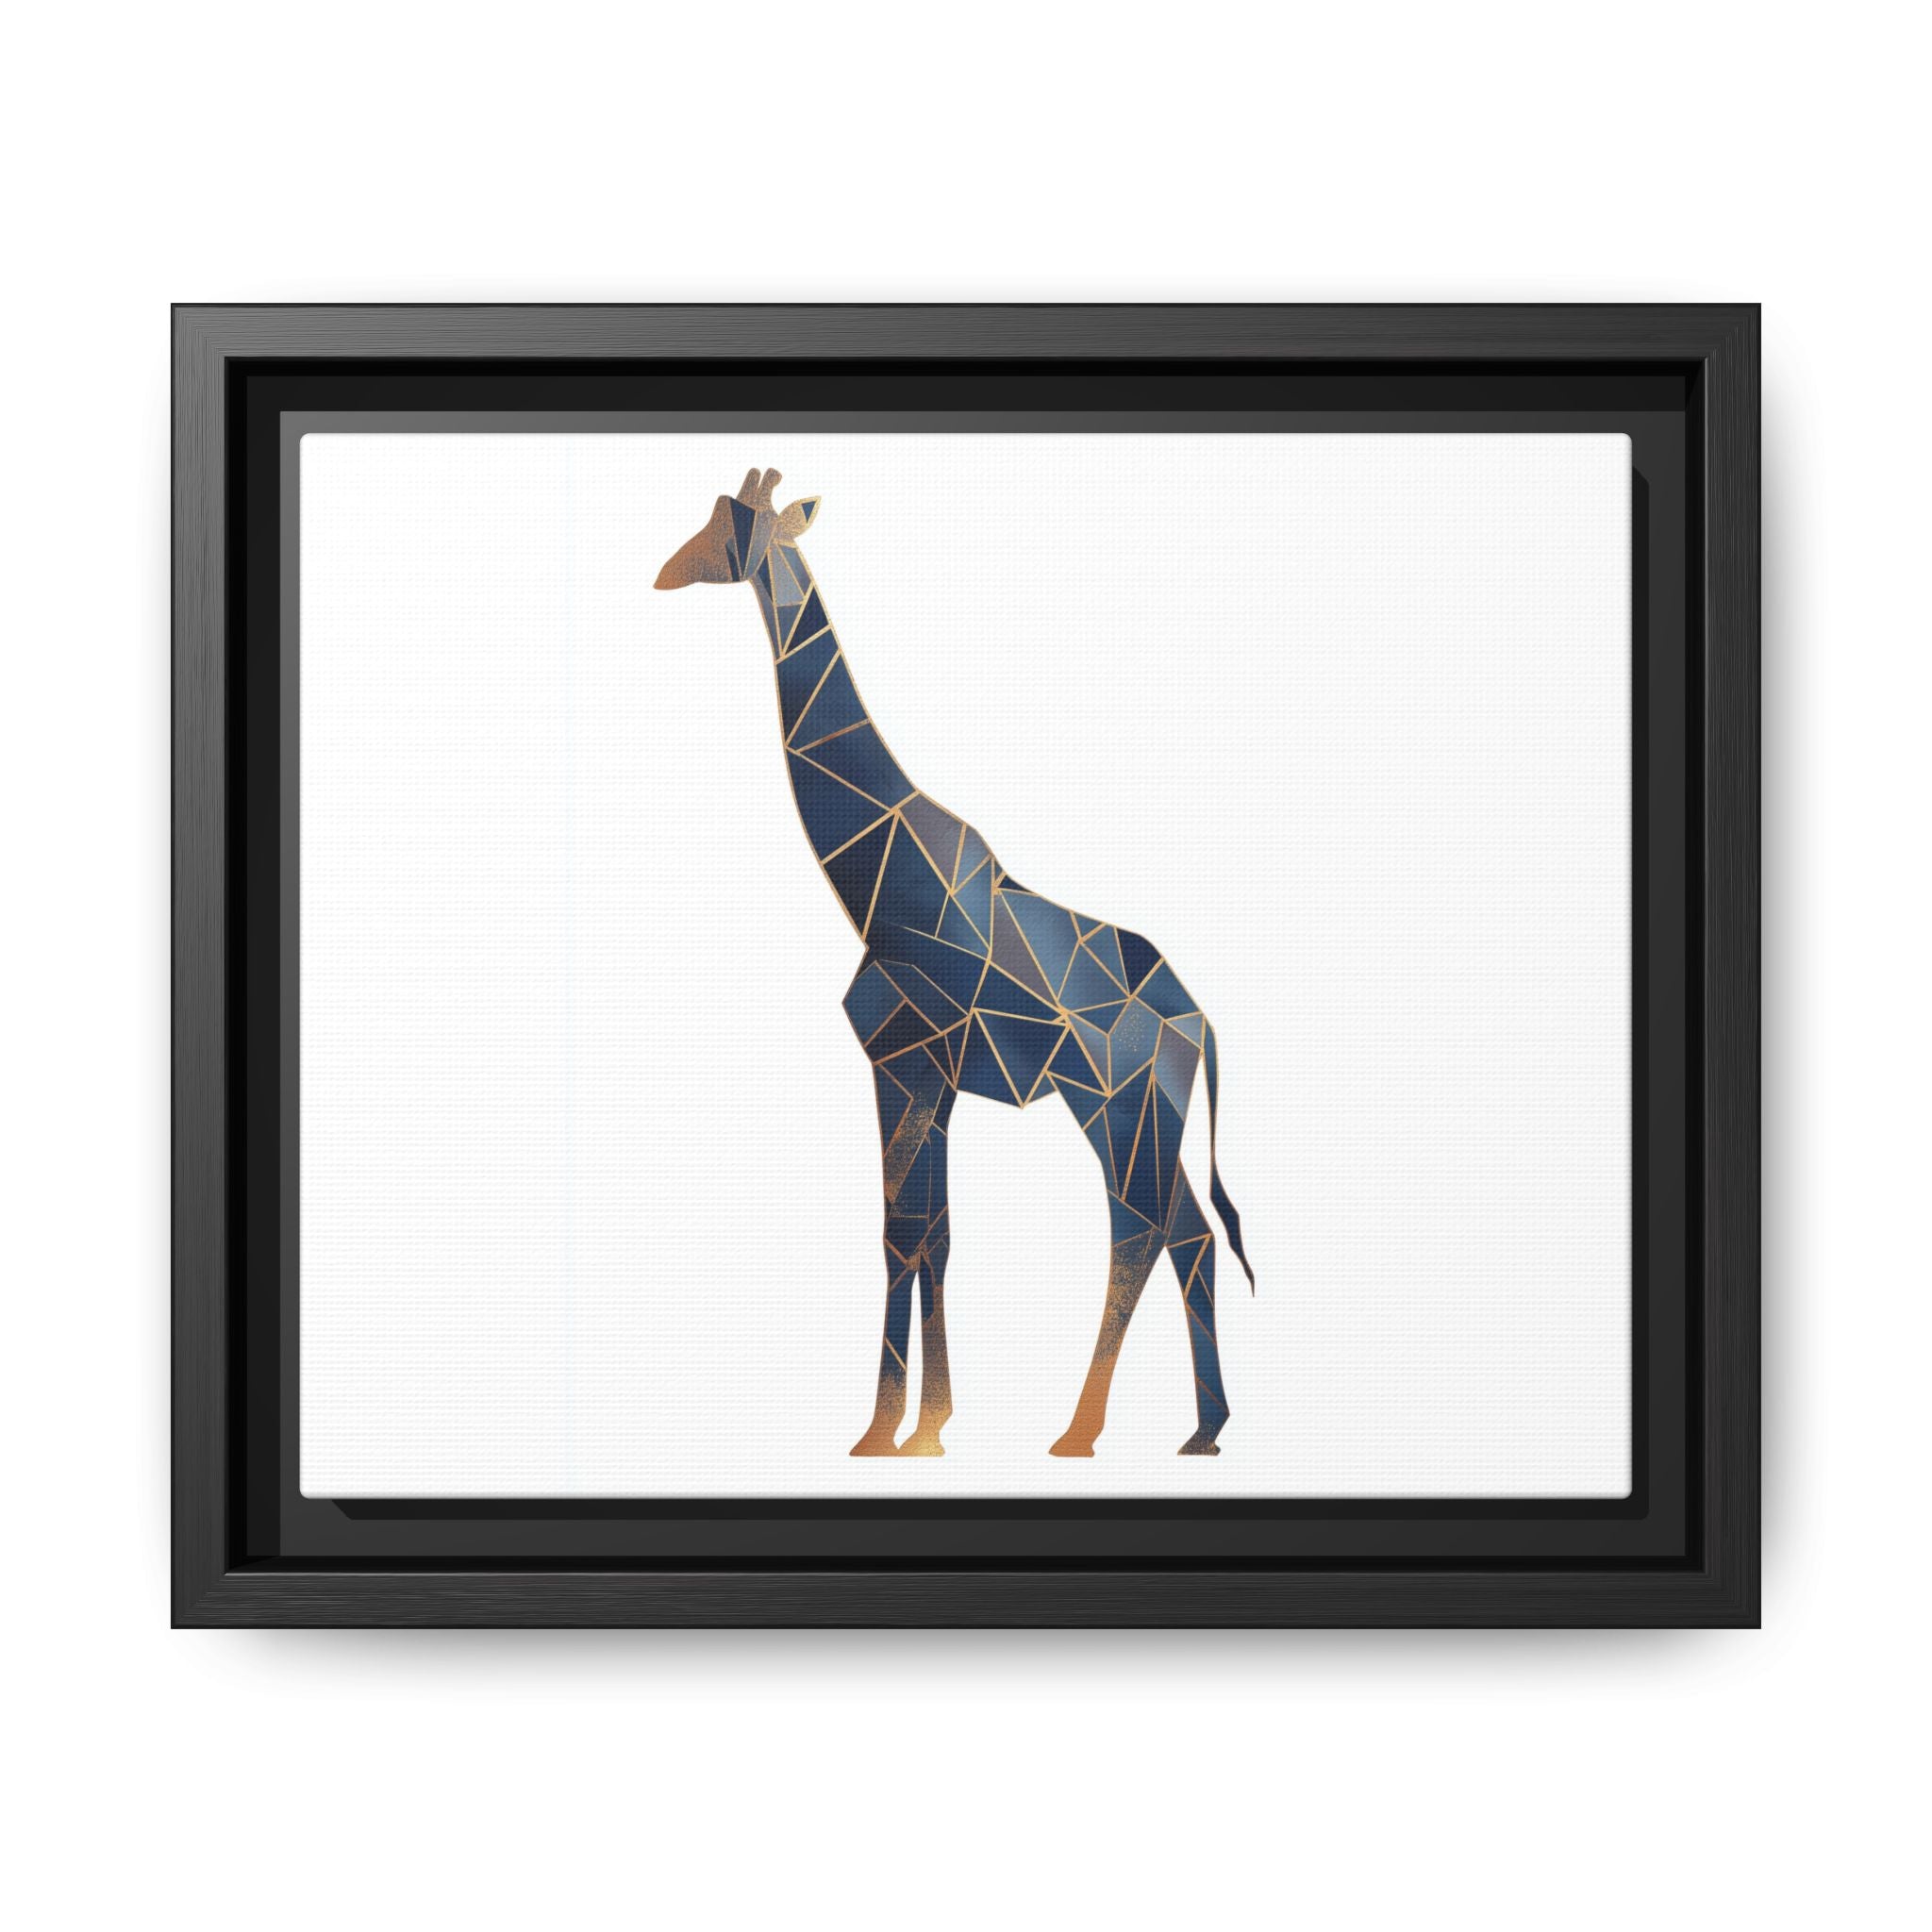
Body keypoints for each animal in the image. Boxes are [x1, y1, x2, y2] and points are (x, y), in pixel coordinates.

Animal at [656, 468, 1255, 1458]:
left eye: (732, 527)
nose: (666, 572)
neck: (876, 880)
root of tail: (1199, 1023)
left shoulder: (903, 1063)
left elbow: (904, 1234)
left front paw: (889, 1432)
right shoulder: (926, 1078)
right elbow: (930, 1234)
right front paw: (920, 1427)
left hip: (1115, 1103)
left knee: (1139, 1229)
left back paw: (1081, 1433)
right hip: (1144, 1112)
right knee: (1189, 1234)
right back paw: (1202, 1430)